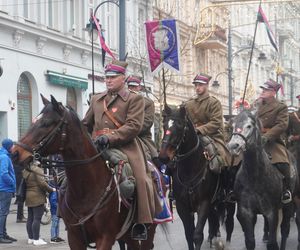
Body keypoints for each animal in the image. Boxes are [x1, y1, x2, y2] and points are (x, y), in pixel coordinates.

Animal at [159, 104, 220, 249]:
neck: (189, 170)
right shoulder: (183, 207)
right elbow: (189, 234)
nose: (163, 157)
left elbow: (197, 235)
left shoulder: (204, 203)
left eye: (180, 125)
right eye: (164, 124)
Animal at [229, 110, 296, 250]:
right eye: (232, 126)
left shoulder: (272, 212)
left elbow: (272, 243)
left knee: (284, 229)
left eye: (249, 126)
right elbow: (250, 241)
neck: (254, 176)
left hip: (289, 204)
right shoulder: (246, 212)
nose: (233, 146)